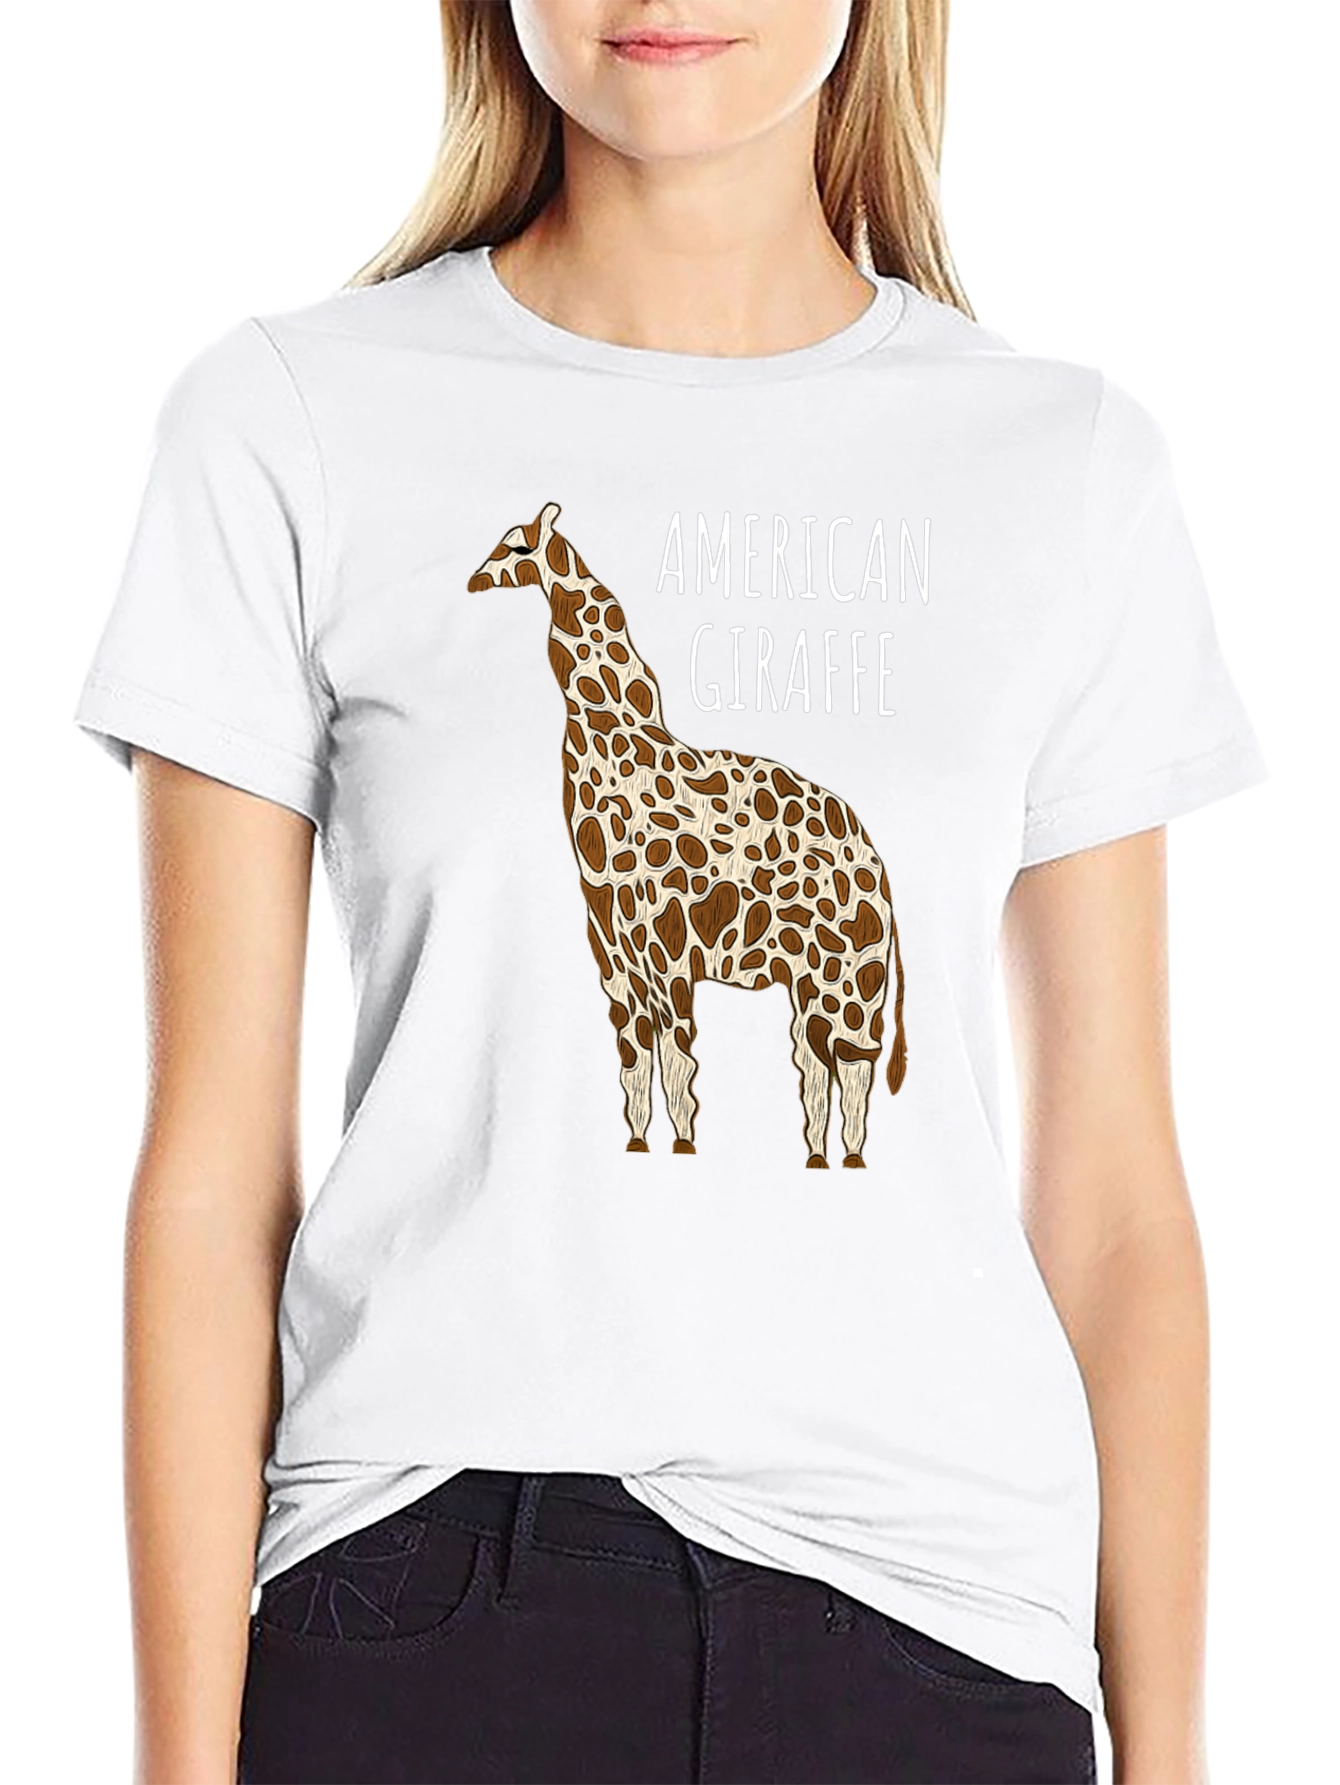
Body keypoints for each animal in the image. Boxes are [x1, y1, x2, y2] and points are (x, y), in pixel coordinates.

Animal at [467, 500, 907, 1168]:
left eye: (517, 547)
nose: (472, 580)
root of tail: (883, 876)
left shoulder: (668, 949)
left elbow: (678, 1061)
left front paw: (681, 1148)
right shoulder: (613, 955)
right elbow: (634, 1059)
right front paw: (638, 1145)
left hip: (851, 975)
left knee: (852, 1064)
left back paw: (849, 1162)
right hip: (809, 981)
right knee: (815, 1065)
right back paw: (816, 1160)